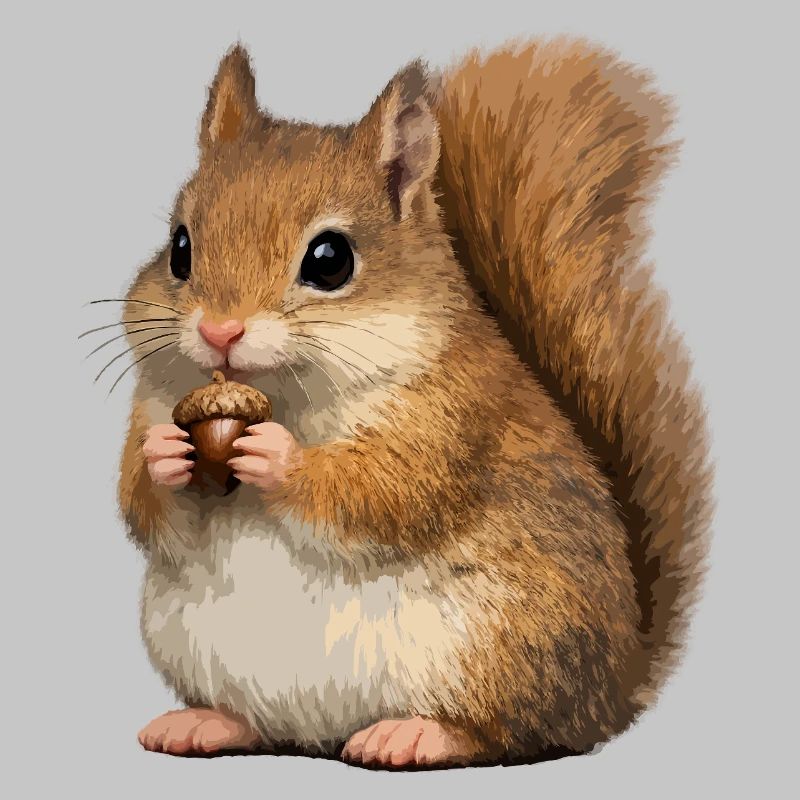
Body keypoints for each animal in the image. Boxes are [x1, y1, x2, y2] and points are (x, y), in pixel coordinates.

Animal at [115, 38, 712, 768]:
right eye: (179, 247)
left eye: (330, 259)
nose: (219, 332)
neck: (287, 395)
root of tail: (614, 689)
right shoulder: (152, 401)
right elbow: (144, 507)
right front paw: (164, 458)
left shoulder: (451, 417)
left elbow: (386, 492)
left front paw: (279, 458)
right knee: (260, 724)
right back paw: (206, 723)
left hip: (502, 644)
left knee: (511, 733)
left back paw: (416, 734)